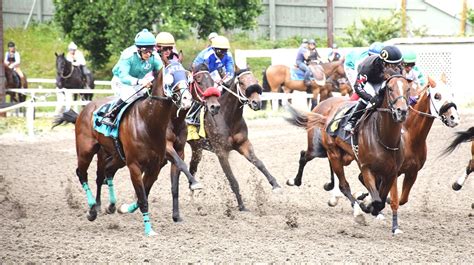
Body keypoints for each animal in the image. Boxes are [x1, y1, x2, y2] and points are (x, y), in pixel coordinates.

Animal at [52, 68, 193, 235]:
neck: (148, 122)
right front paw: (148, 229)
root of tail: (84, 110)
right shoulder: (137, 164)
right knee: (83, 174)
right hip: (87, 151)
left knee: (107, 171)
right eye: (171, 77)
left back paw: (110, 205)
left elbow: (149, 192)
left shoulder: (158, 164)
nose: (187, 99)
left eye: (187, 77)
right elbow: (143, 196)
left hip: (117, 157)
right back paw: (93, 209)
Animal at [186, 68, 282, 210]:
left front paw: (275, 185)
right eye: (241, 82)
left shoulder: (243, 144)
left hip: (197, 149)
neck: (227, 117)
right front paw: (241, 205)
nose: (257, 102)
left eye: (256, 80)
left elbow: (259, 163)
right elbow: (232, 178)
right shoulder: (221, 152)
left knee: (192, 168)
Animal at [286, 70, 412, 233]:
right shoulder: (366, 168)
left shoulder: (391, 173)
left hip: (338, 154)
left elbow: (382, 200)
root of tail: (326, 115)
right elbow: (376, 200)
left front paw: (369, 205)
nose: (401, 111)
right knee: (338, 182)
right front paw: (365, 206)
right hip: (325, 151)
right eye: (390, 89)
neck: (385, 138)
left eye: (408, 89)